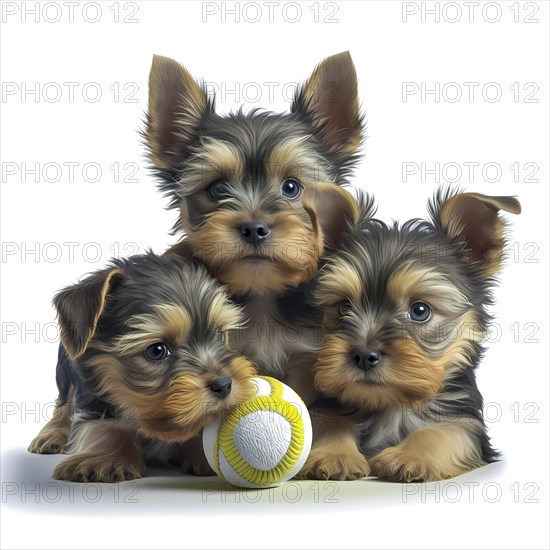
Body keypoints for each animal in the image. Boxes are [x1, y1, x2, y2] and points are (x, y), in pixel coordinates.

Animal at [28, 254, 256, 484]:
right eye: (157, 350)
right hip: (66, 365)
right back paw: (51, 434)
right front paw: (104, 459)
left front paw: (202, 454)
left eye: (219, 334)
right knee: (64, 400)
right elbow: (104, 424)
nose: (224, 385)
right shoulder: (95, 390)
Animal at [302, 190, 520, 484]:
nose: (364, 356)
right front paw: (333, 454)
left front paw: (409, 457)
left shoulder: (466, 421)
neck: (391, 405)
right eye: (344, 307)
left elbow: (447, 430)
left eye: (420, 311)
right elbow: (327, 420)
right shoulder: (329, 404)